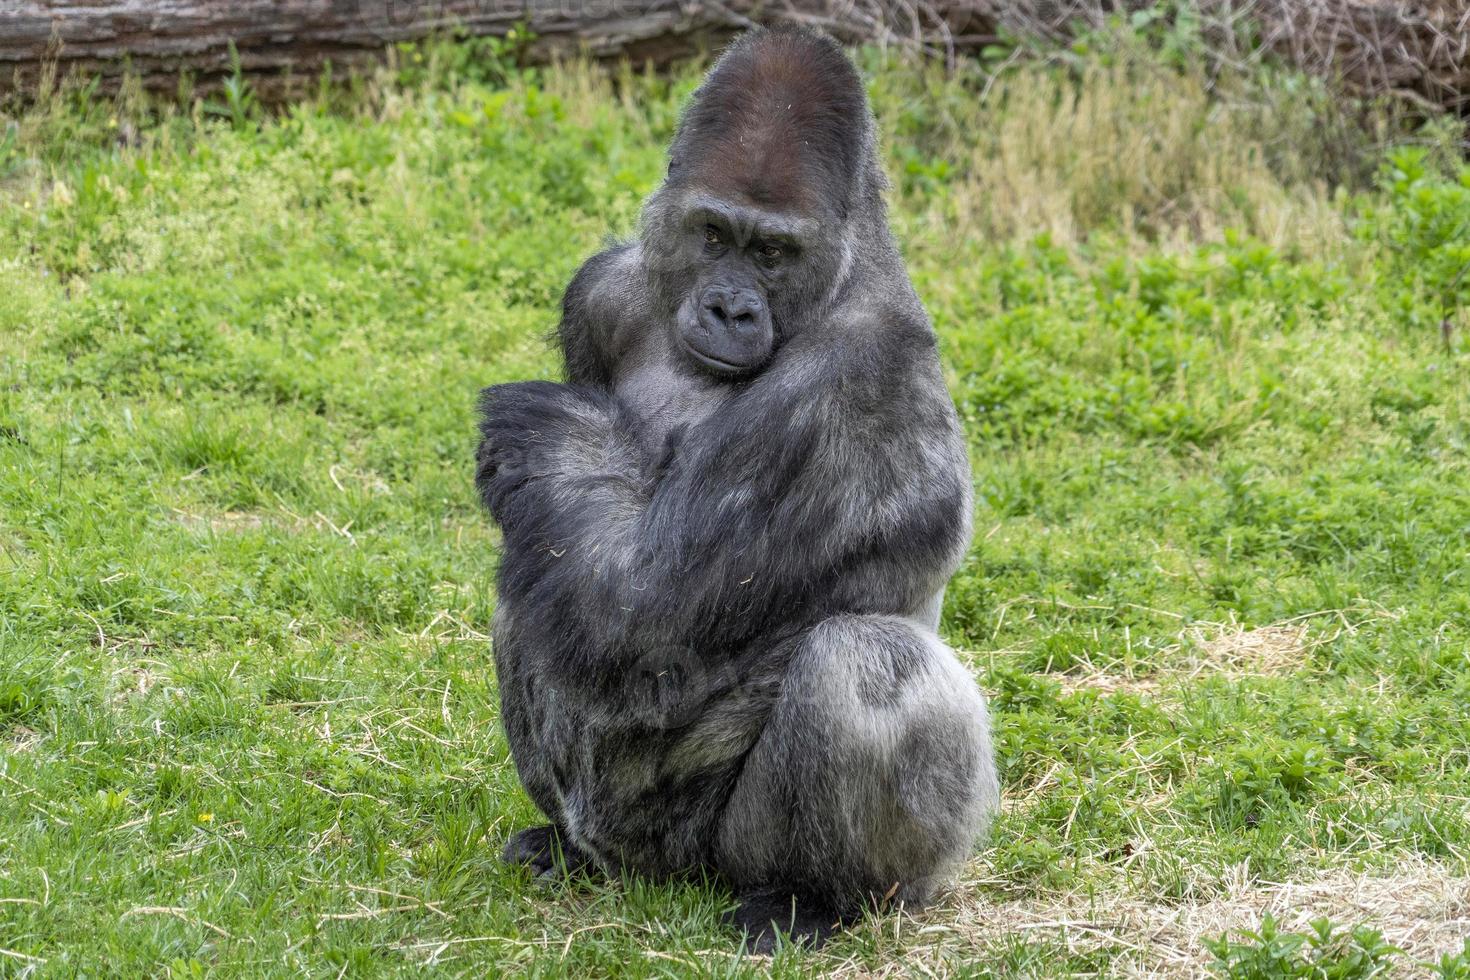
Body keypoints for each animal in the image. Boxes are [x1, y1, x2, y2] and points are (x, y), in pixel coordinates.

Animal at [476, 28, 1005, 952]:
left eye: (773, 252)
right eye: (714, 234)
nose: (728, 309)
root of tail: (645, 875)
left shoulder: (852, 384)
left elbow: (638, 606)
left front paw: (543, 433)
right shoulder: (603, 288)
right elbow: (574, 568)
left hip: (716, 857)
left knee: (871, 664)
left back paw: (812, 897)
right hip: (616, 841)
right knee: (530, 583)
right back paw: (565, 848)